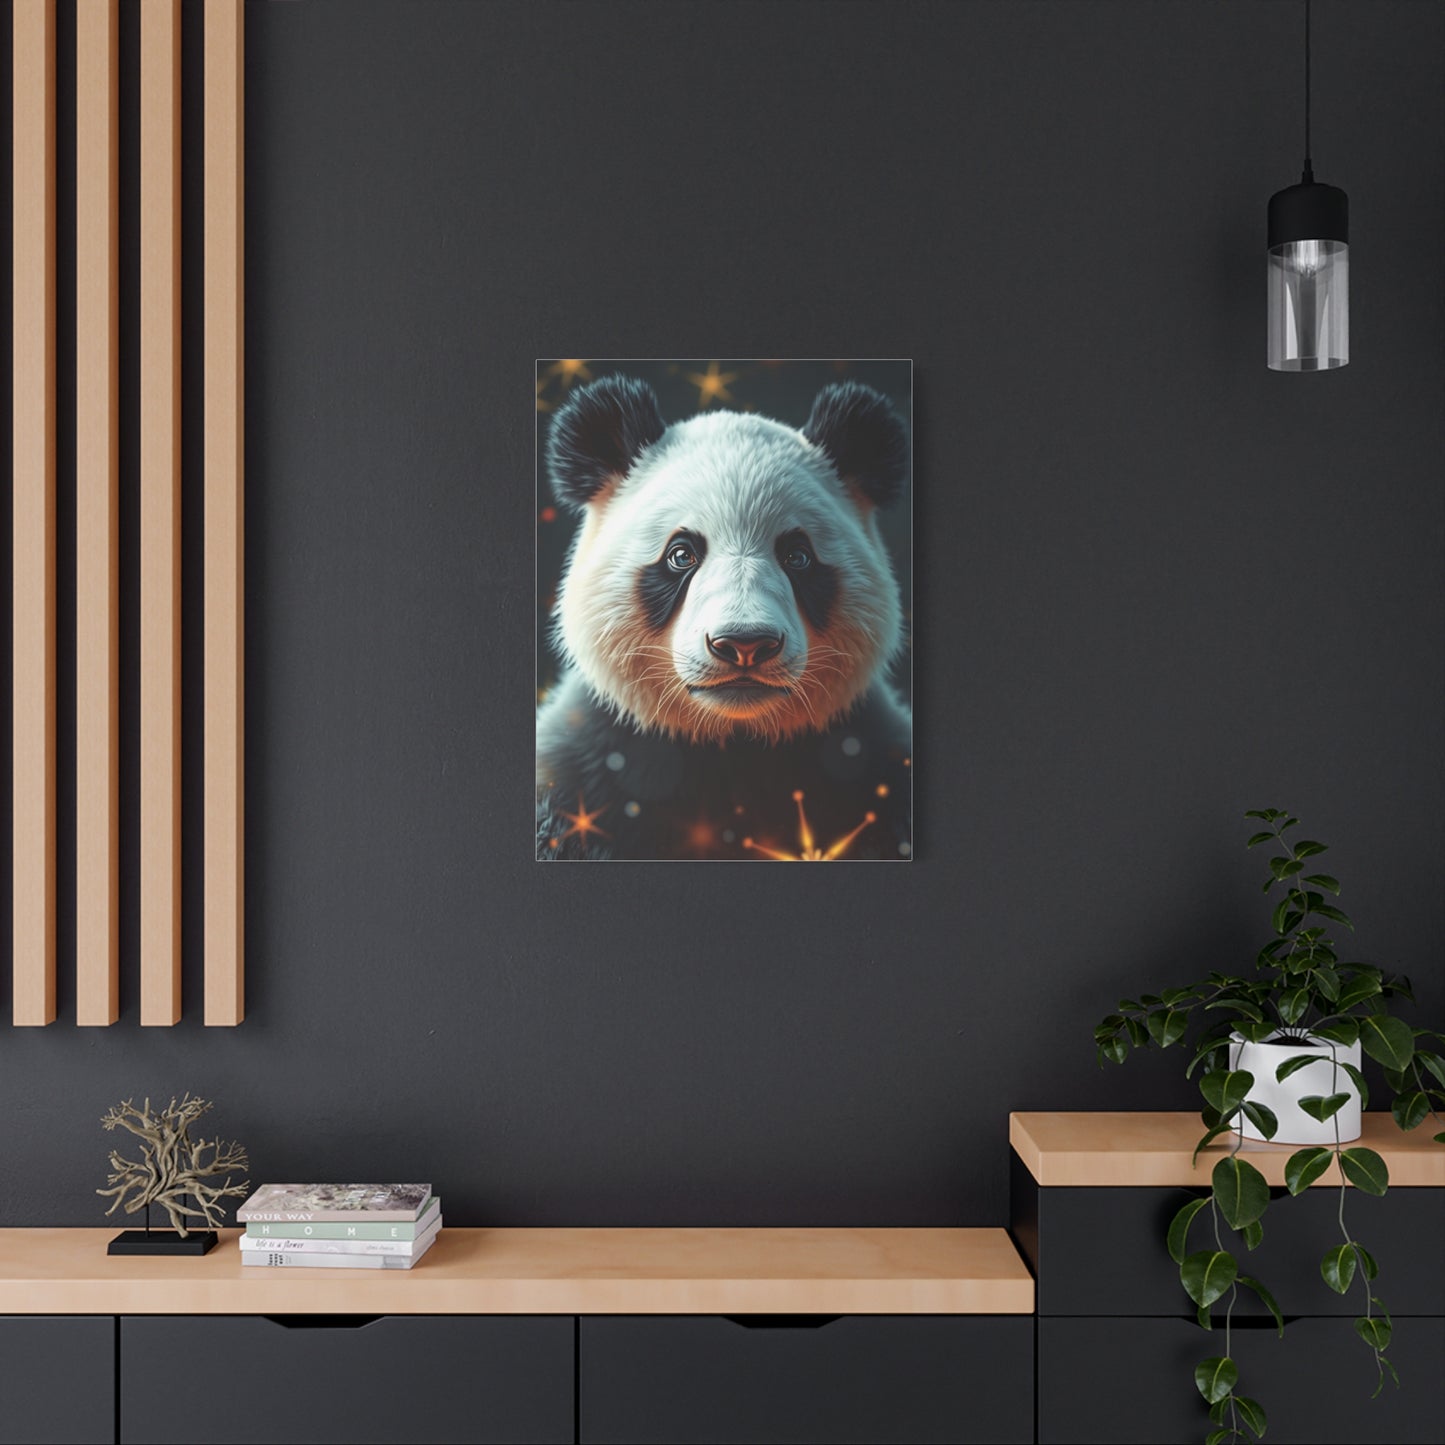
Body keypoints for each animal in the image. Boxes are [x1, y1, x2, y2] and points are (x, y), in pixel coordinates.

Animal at [536, 373, 912, 861]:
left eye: (797, 556)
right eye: (681, 555)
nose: (745, 644)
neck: (731, 745)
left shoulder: (874, 767)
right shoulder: (582, 777)